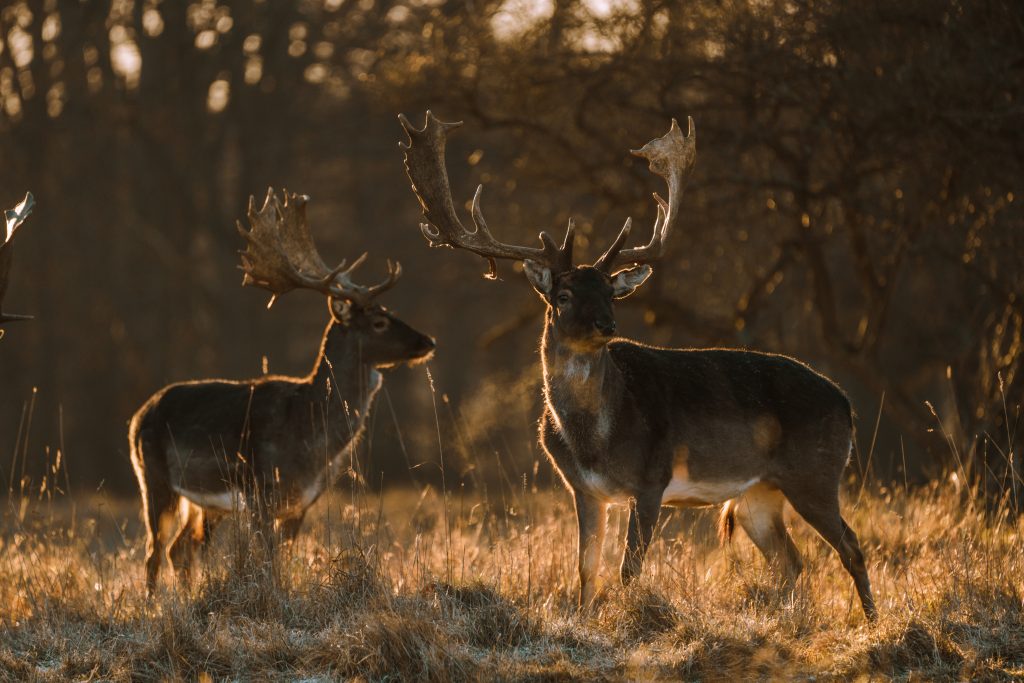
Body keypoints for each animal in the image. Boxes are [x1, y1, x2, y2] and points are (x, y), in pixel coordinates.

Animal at [130, 188, 434, 593]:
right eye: (379, 322)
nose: (428, 341)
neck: (309, 429)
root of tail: (138, 416)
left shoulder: (301, 502)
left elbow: (284, 559)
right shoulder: (261, 492)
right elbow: (267, 561)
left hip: (205, 503)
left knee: (179, 550)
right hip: (152, 476)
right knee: (154, 550)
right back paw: (152, 602)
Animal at [399, 111, 880, 618]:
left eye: (611, 293)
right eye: (563, 294)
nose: (607, 323)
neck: (593, 439)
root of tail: (845, 402)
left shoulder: (652, 479)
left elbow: (629, 570)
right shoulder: (583, 488)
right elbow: (586, 570)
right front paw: (586, 618)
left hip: (816, 472)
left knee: (851, 546)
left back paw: (871, 622)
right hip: (757, 492)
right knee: (791, 560)